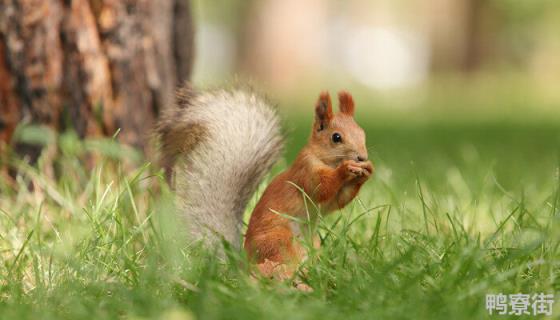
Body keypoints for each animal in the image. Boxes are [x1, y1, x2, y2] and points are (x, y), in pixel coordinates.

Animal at [156, 85, 372, 282]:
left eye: (363, 134)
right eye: (336, 137)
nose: (362, 157)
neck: (324, 159)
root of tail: (244, 262)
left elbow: (337, 201)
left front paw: (365, 173)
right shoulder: (305, 171)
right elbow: (322, 188)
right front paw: (345, 169)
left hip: (313, 244)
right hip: (279, 241)